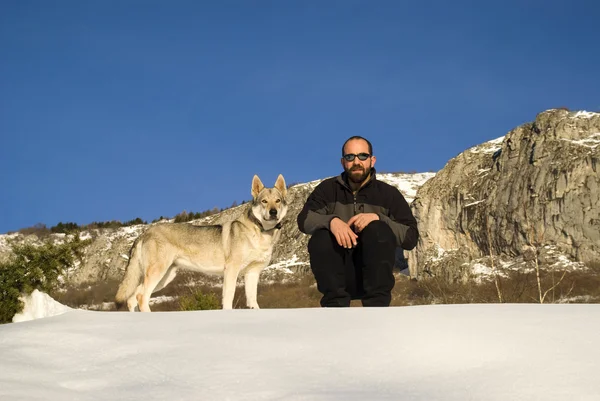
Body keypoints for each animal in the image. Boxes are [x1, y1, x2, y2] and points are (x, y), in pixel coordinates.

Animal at [116, 173, 290, 310]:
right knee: (141, 297)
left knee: (133, 298)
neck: (262, 232)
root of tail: (144, 232)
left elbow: (253, 301)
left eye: (278, 200)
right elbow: (228, 298)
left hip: (165, 276)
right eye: (264, 201)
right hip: (158, 272)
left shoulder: (252, 273)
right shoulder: (231, 270)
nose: (273, 212)